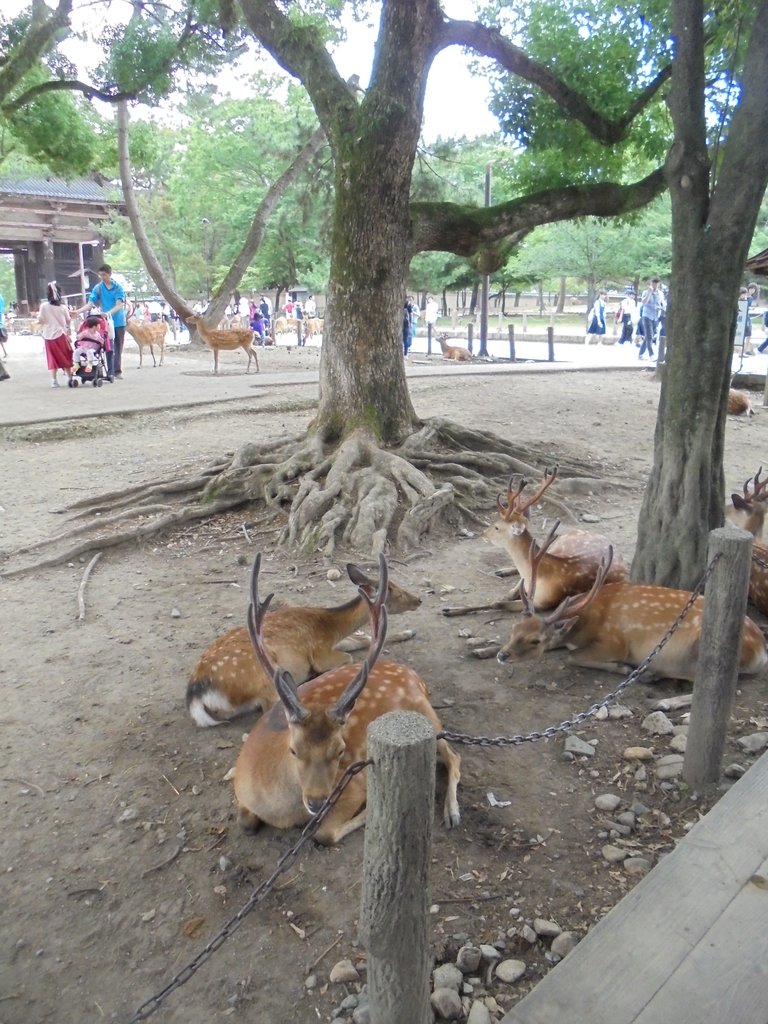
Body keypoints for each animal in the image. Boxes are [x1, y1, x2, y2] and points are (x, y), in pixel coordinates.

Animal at [188, 569, 423, 729]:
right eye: (397, 592)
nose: (418, 600)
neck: (331, 626)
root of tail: (197, 693)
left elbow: (362, 639)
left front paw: (408, 632)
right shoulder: (320, 652)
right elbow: (349, 656)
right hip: (264, 678)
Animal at [233, 557, 462, 843]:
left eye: (341, 750)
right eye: (294, 750)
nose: (317, 802)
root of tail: (414, 674)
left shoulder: (353, 782)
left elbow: (324, 833)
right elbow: (245, 822)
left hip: (426, 714)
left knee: (454, 756)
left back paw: (452, 813)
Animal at [495, 548, 765, 684]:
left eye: (535, 641)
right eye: (514, 630)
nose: (502, 655)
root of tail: (761, 650)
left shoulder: (615, 642)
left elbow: (571, 657)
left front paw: (622, 667)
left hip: (704, 650)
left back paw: (649, 674)